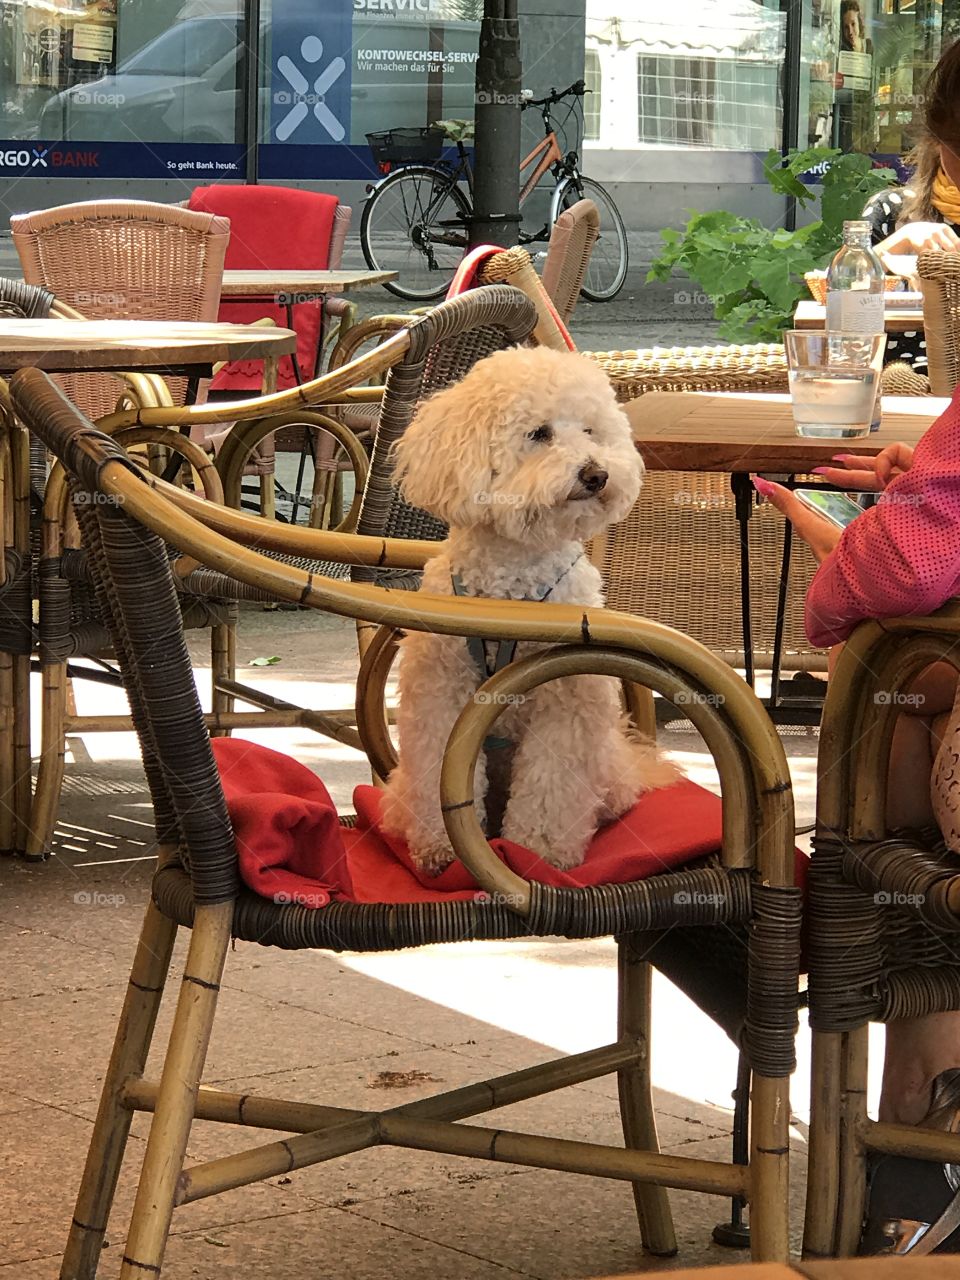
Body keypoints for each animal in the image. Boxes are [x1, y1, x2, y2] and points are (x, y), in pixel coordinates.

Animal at [378, 345, 680, 875]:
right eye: (539, 433)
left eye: (591, 430)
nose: (597, 474)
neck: (513, 580)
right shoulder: (440, 694)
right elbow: (436, 773)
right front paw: (439, 847)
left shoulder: (567, 704)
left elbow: (549, 783)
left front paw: (538, 850)